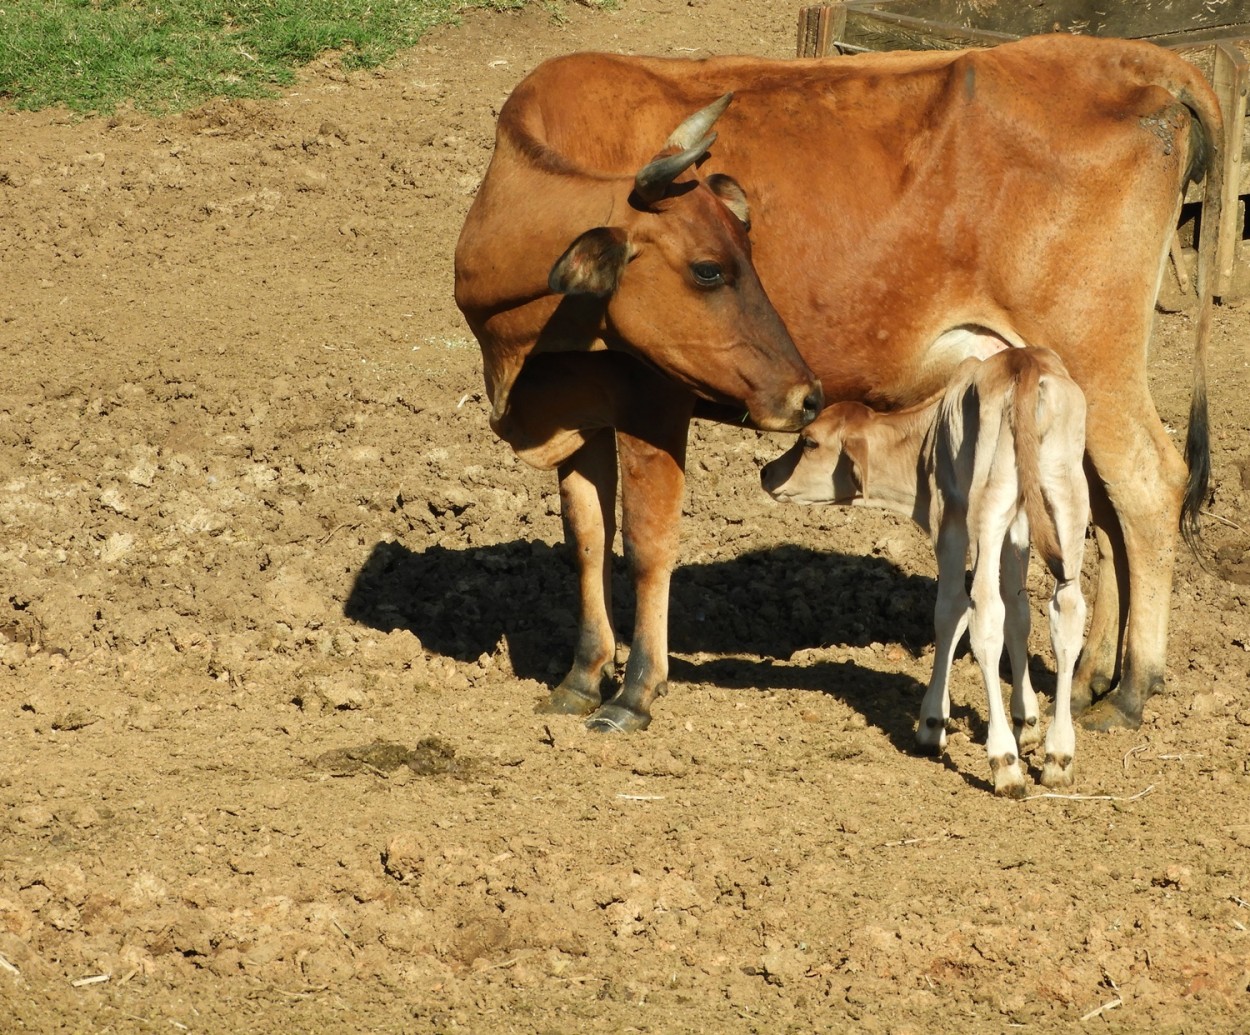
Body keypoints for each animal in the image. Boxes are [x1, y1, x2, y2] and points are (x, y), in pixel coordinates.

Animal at [457, 36, 1220, 735]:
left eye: (733, 255)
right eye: (709, 267)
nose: (805, 394)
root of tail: (1129, 57)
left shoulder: (653, 398)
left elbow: (647, 542)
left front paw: (635, 691)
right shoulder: (578, 405)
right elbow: (587, 535)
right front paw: (581, 676)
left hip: (1097, 358)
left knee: (1148, 488)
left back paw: (1132, 689)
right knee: (1103, 510)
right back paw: (1089, 677)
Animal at [755, 350, 1090, 800]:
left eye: (808, 441)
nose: (766, 472)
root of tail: (1025, 363)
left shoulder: (948, 521)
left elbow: (951, 613)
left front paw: (933, 723)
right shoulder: (1018, 528)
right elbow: (1020, 614)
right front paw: (1027, 722)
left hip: (988, 504)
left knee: (985, 613)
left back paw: (1004, 763)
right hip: (1067, 499)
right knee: (1066, 610)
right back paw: (1058, 756)